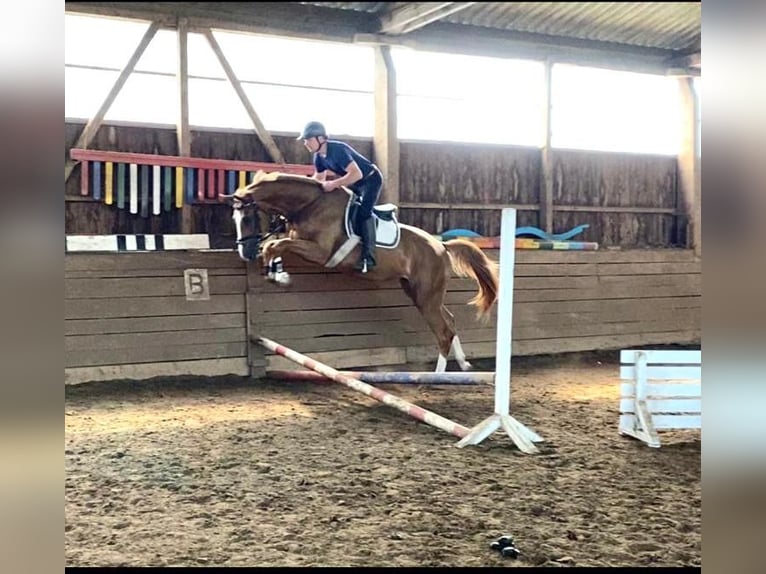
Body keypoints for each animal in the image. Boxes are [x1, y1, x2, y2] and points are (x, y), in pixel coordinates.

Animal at [225, 170, 500, 374]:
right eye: (234, 219)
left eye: (247, 218)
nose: (244, 253)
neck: (309, 205)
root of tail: (441, 246)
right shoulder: (296, 238)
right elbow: (277, 243)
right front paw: (276, 271)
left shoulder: (321, 253)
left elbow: (274, 245)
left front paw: (277, 274)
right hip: (420, 293)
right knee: (450, 323)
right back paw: (463, 364)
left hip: (426, 296)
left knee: (443, 332)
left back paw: (438, 377)